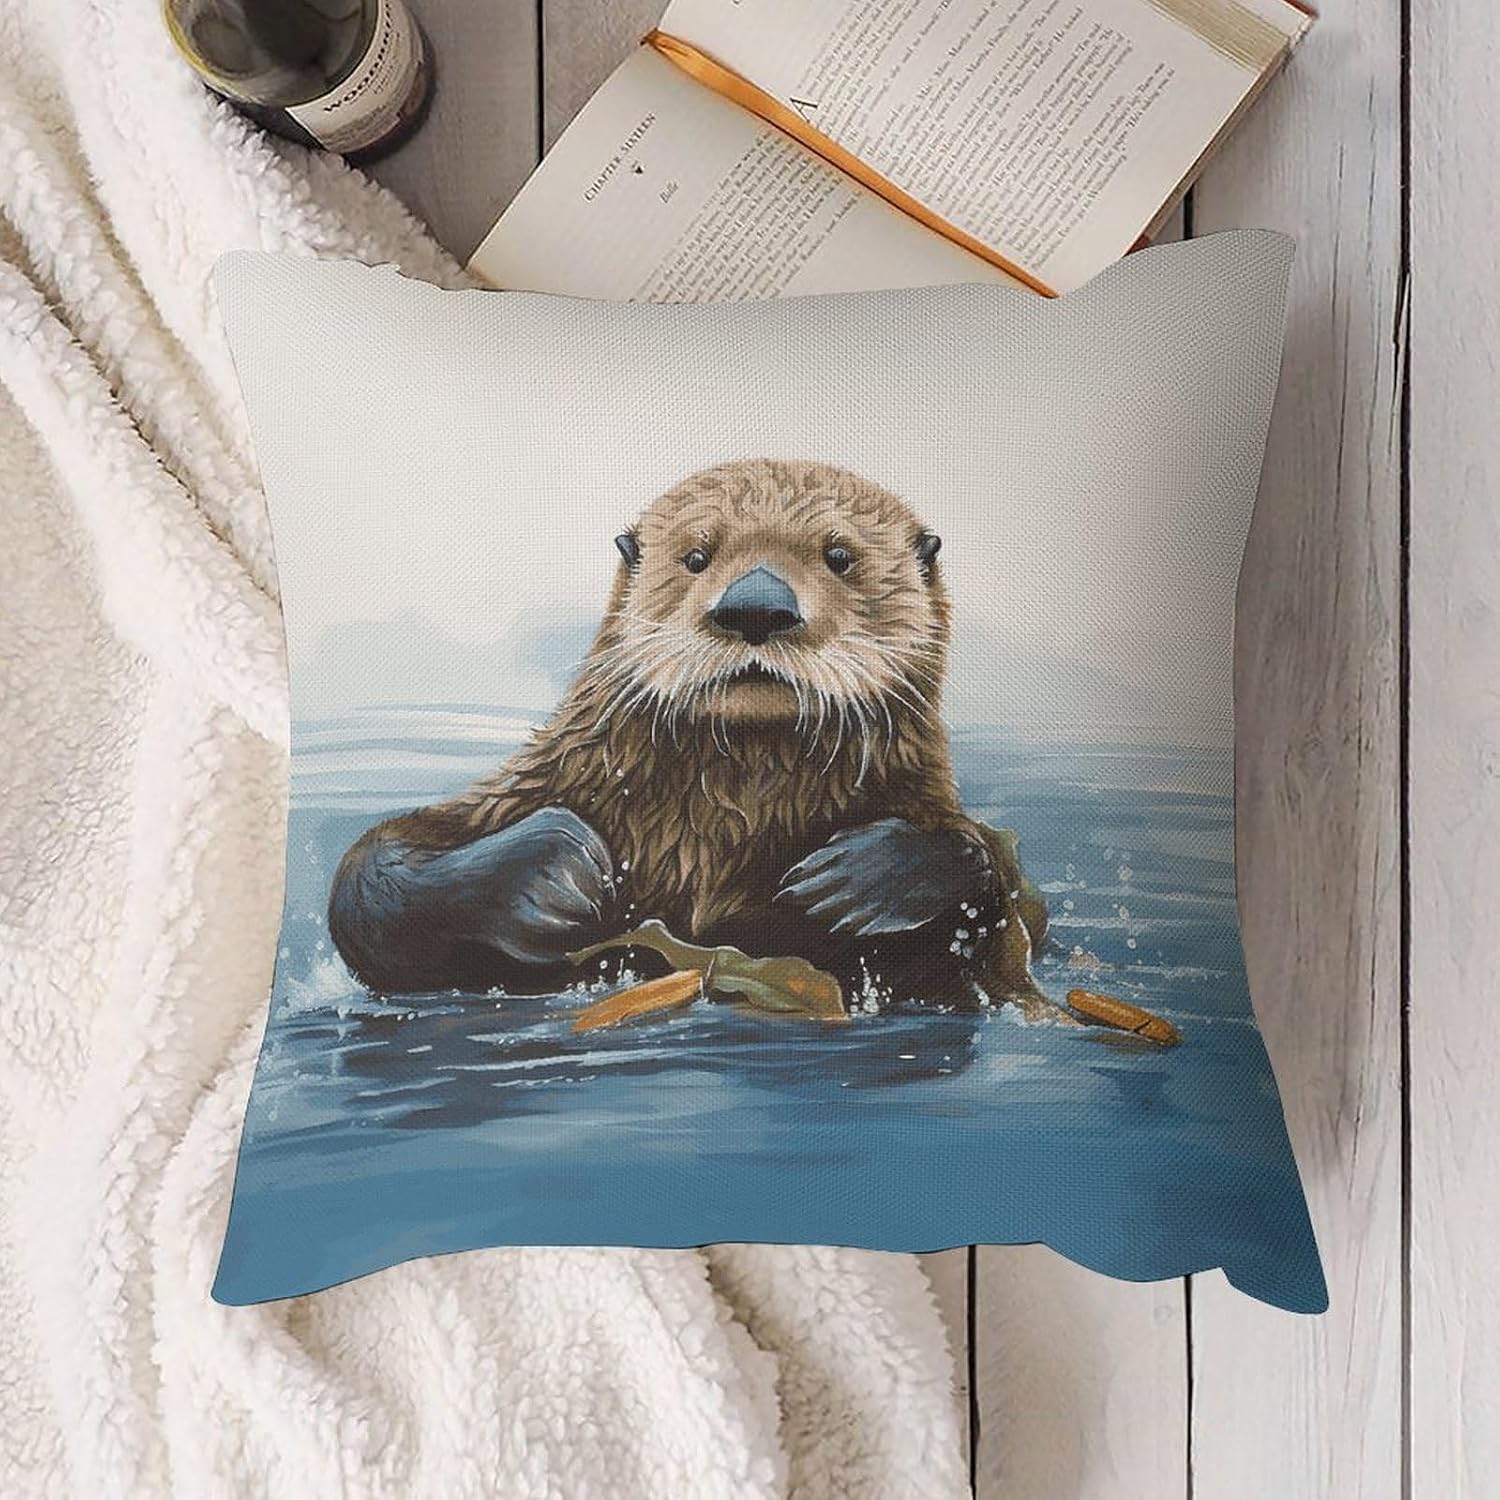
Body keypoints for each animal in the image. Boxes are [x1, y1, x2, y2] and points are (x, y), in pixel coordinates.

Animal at [328, 459, 1052, 1013]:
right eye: (696, 557)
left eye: (840, 557)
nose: (756, 606)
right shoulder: (542, 783)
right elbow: (375, 878)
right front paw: (553, 869)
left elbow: (994, 895)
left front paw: (863, 879)